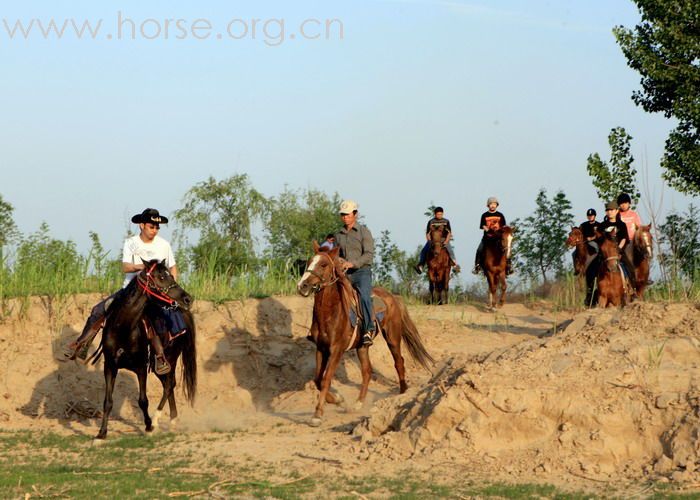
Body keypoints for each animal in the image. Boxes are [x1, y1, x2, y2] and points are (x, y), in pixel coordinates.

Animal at [92, 260, 197, 440]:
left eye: (170, 274)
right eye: (161, 277)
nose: (187, 299)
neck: (124, 328)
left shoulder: (141, 367)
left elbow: (143, 400)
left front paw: (148, 427)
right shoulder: (110, 366)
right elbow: (108, 401)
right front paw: (102, 433)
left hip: (170, 358)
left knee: (169, 385)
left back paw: (156, 421)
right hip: (157, 367)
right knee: (169, 384)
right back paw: (172, 421)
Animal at [298, 242, 434, 426]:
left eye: (324, 264)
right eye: (309, 262)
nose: (302, 286)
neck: (331, 312)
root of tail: (393, 297)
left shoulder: (336, 350)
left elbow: (326, 379)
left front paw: (317, 415)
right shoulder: (321, 348)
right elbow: (318, 379)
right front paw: (338, 400)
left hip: (392, 337)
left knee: (399, 362)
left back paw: (402, 393)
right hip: (362, 346)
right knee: (367, 371)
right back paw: (358, 403)